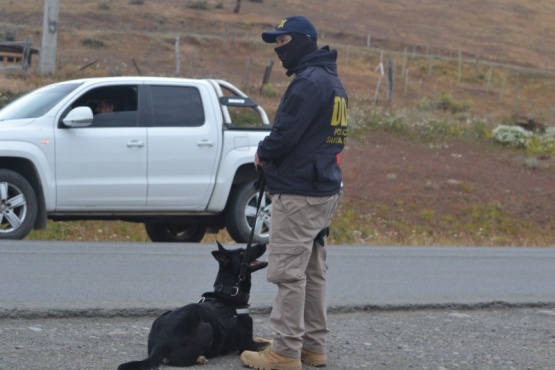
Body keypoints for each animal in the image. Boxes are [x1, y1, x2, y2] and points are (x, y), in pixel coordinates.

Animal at [119, 241, 270, 368]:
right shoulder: (247, 344)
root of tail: (160, 345)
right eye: (243, 253)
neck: (230, 291)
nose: (264, 243)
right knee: (178, 360)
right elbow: (266, 344)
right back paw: (200, 358)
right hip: (206, 328)